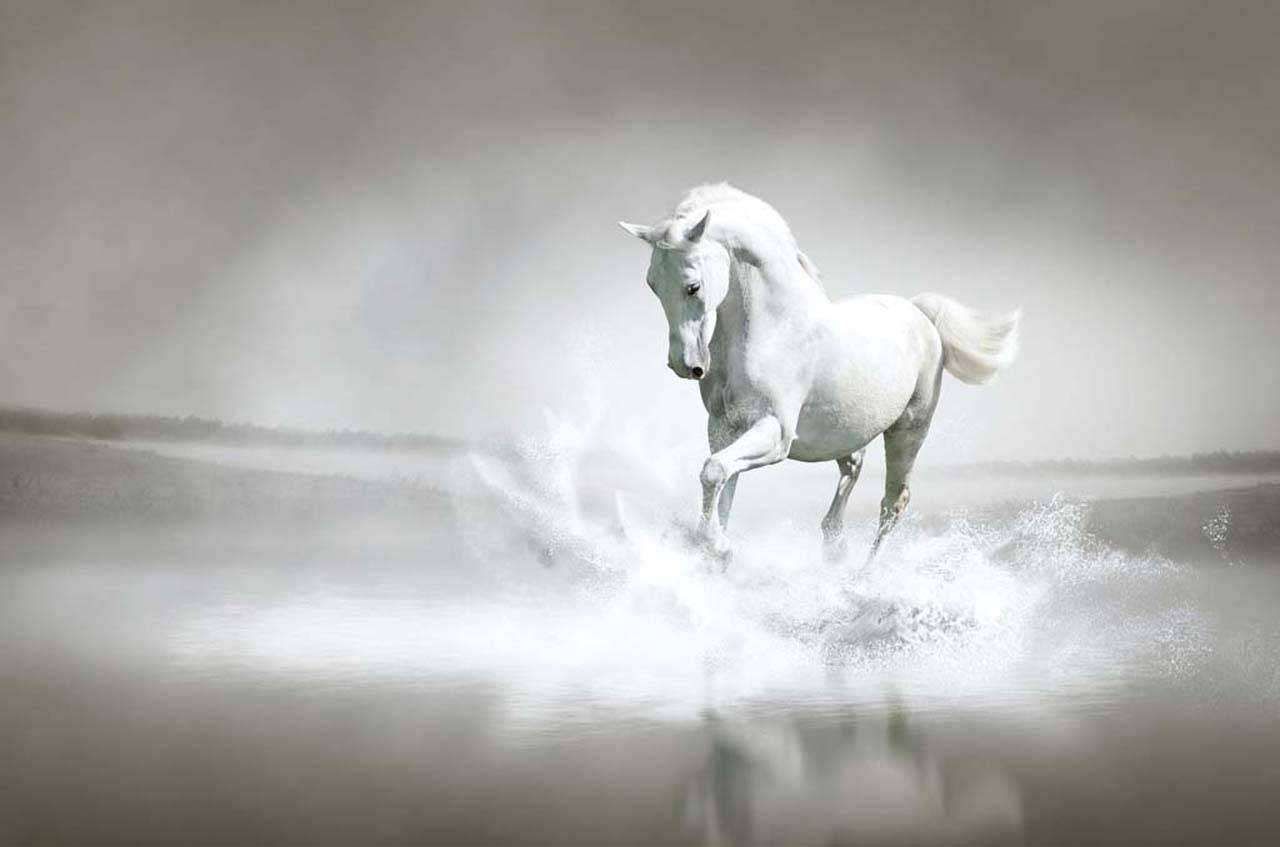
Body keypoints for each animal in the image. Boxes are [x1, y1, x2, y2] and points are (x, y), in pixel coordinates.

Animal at [619, 184, 1020, 563]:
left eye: (693, 286)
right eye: (652, 284)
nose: (685, 365)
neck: (773, 329)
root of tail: (920, 313)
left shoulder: (776, 432)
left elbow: (714, 471)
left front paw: (718, 548)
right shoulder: (723, 428)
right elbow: (721, 484)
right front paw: (714, 551)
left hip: (909, 429)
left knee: (893, 502)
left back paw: (862, 574)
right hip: (846, 430)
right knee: (853, 468)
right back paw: (834, 546)